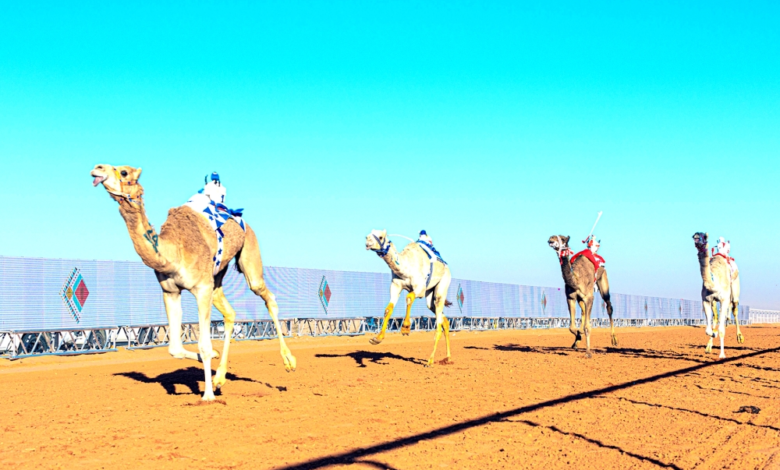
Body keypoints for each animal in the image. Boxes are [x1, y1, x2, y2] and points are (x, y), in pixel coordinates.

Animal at [90, 164, 295, 401]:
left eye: (123, 172)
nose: (97, 169)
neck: (173, 252)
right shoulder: (171, 291)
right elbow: (175, 349)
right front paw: (213, 359)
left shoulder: (201, 288)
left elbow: (203, 344)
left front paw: (207, 395)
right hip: (217, 276)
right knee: (230, 313)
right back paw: (220, 378)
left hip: (249, 253)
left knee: (267, 296)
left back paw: (288, 362)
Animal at [365, 230, 453, 366]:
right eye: (367, 235)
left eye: (380, 236)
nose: (368, 242)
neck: (406, 268)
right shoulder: (396, 286)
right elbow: (388, 309)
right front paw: (377, 338)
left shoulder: (420, 288)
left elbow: (409, 297)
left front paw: (405, 328)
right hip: (430, 296)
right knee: (444, 320)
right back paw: (448, 358)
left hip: (442, 286)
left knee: (438, 324)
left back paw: (430, 360)